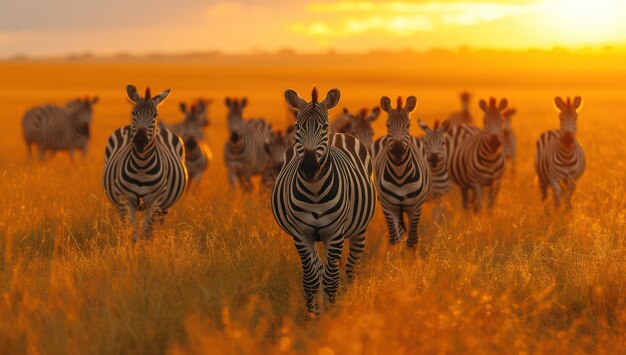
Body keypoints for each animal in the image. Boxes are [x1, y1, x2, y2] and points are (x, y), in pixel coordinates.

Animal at [101, 85, 185, 242]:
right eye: (133, 113)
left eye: (155, 115)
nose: (140, 141)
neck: (141, 166)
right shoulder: (127, 199)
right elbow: (133, 232)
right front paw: (130, 248)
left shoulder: (155, 200)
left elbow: (147, 232)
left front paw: (146, 248)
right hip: (121, 204)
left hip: (164, 206)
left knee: (157, 225)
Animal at [270, 87, 372, 318]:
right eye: (297, 127)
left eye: (323, 126)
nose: (309, 168)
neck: (315, 192)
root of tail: (337, 134)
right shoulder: (301, 234)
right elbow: (311, 279)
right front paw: (312, 316)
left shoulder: (335, 234)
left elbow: (331, 280)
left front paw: (331, 315)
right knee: (319, 269)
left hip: (359, 230)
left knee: (350, 267)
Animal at [370, 96, 428, 248]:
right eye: (387, 125)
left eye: (408, 125)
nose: (397, 152)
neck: (400, 174)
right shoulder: (388, 207)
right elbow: (395, 240)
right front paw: (396, 255)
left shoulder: (415, 207)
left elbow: (412, 240)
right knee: (400, 233)